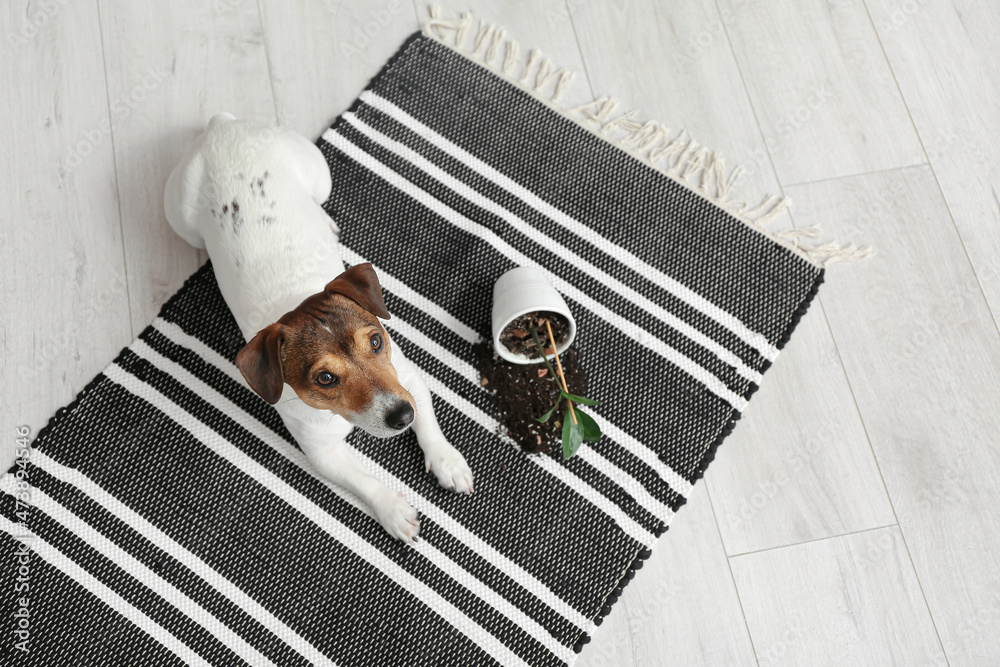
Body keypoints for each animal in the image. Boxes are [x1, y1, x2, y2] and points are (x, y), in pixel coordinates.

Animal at [163, 115, 472, 544]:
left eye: (376, 341)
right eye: (325, 378)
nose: (400, 416)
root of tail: (219, 128)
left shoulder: (408, 382)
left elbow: (429, 424)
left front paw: (446, 461)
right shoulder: (323, 453)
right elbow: (364, 481)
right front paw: (393, 510)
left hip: (317, 174)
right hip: (180, 215)